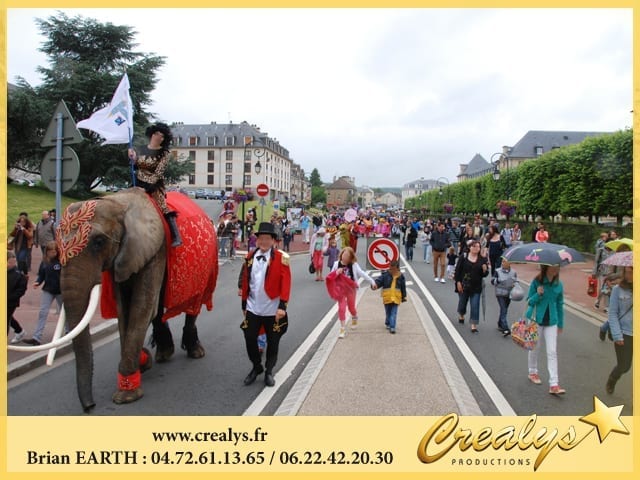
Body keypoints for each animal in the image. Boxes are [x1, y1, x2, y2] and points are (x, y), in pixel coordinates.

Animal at [18, 188, 218, 412]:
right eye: (58, 245)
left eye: (98, 242)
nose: (90, 407)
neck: (118, 201)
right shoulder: (124, 258)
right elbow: (126, 310)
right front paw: (143, 362)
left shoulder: (155, 250)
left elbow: (141, 308)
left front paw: (126, 394)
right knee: (158, 310)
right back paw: (164, 354)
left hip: (207, 268)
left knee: (193, 305)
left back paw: (195, 352)